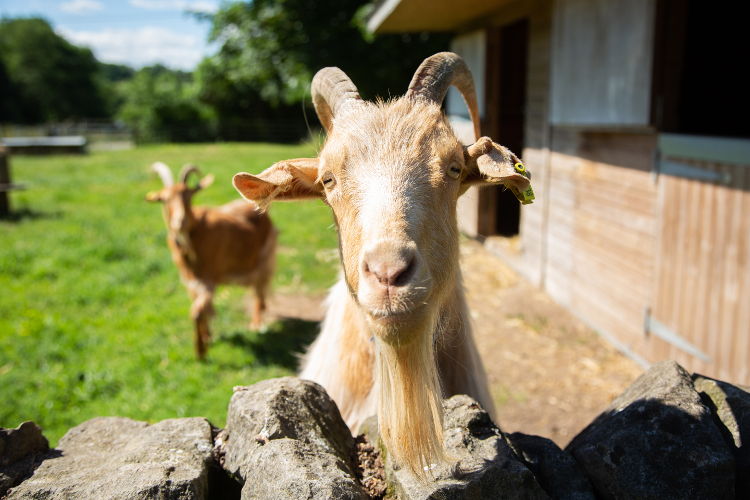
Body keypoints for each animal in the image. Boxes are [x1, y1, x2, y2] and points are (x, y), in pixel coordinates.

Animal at [145, 163, 278, 360]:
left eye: (189, 196)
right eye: (163, 199)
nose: (180, 222)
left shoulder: (208, 279)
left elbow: (197, 312)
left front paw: (200, 351)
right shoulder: (191, 281)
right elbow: (201, 309)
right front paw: (207, 337)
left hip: (264, 259)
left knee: (259, 291)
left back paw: (256, 324)